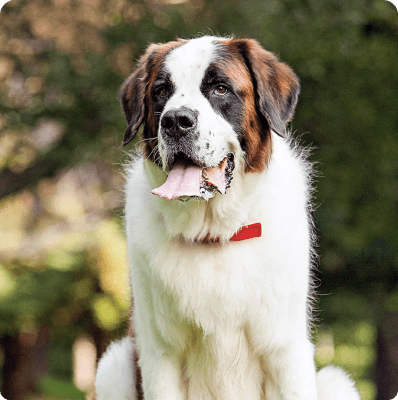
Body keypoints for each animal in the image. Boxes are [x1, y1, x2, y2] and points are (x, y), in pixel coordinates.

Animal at [95, 36, 360, 398]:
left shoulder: (285, 350)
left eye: (220, 89)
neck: (214, 233)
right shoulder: (159, 353)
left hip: (335, 380)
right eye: (161, 92)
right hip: (113, 363)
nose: (175, 121)